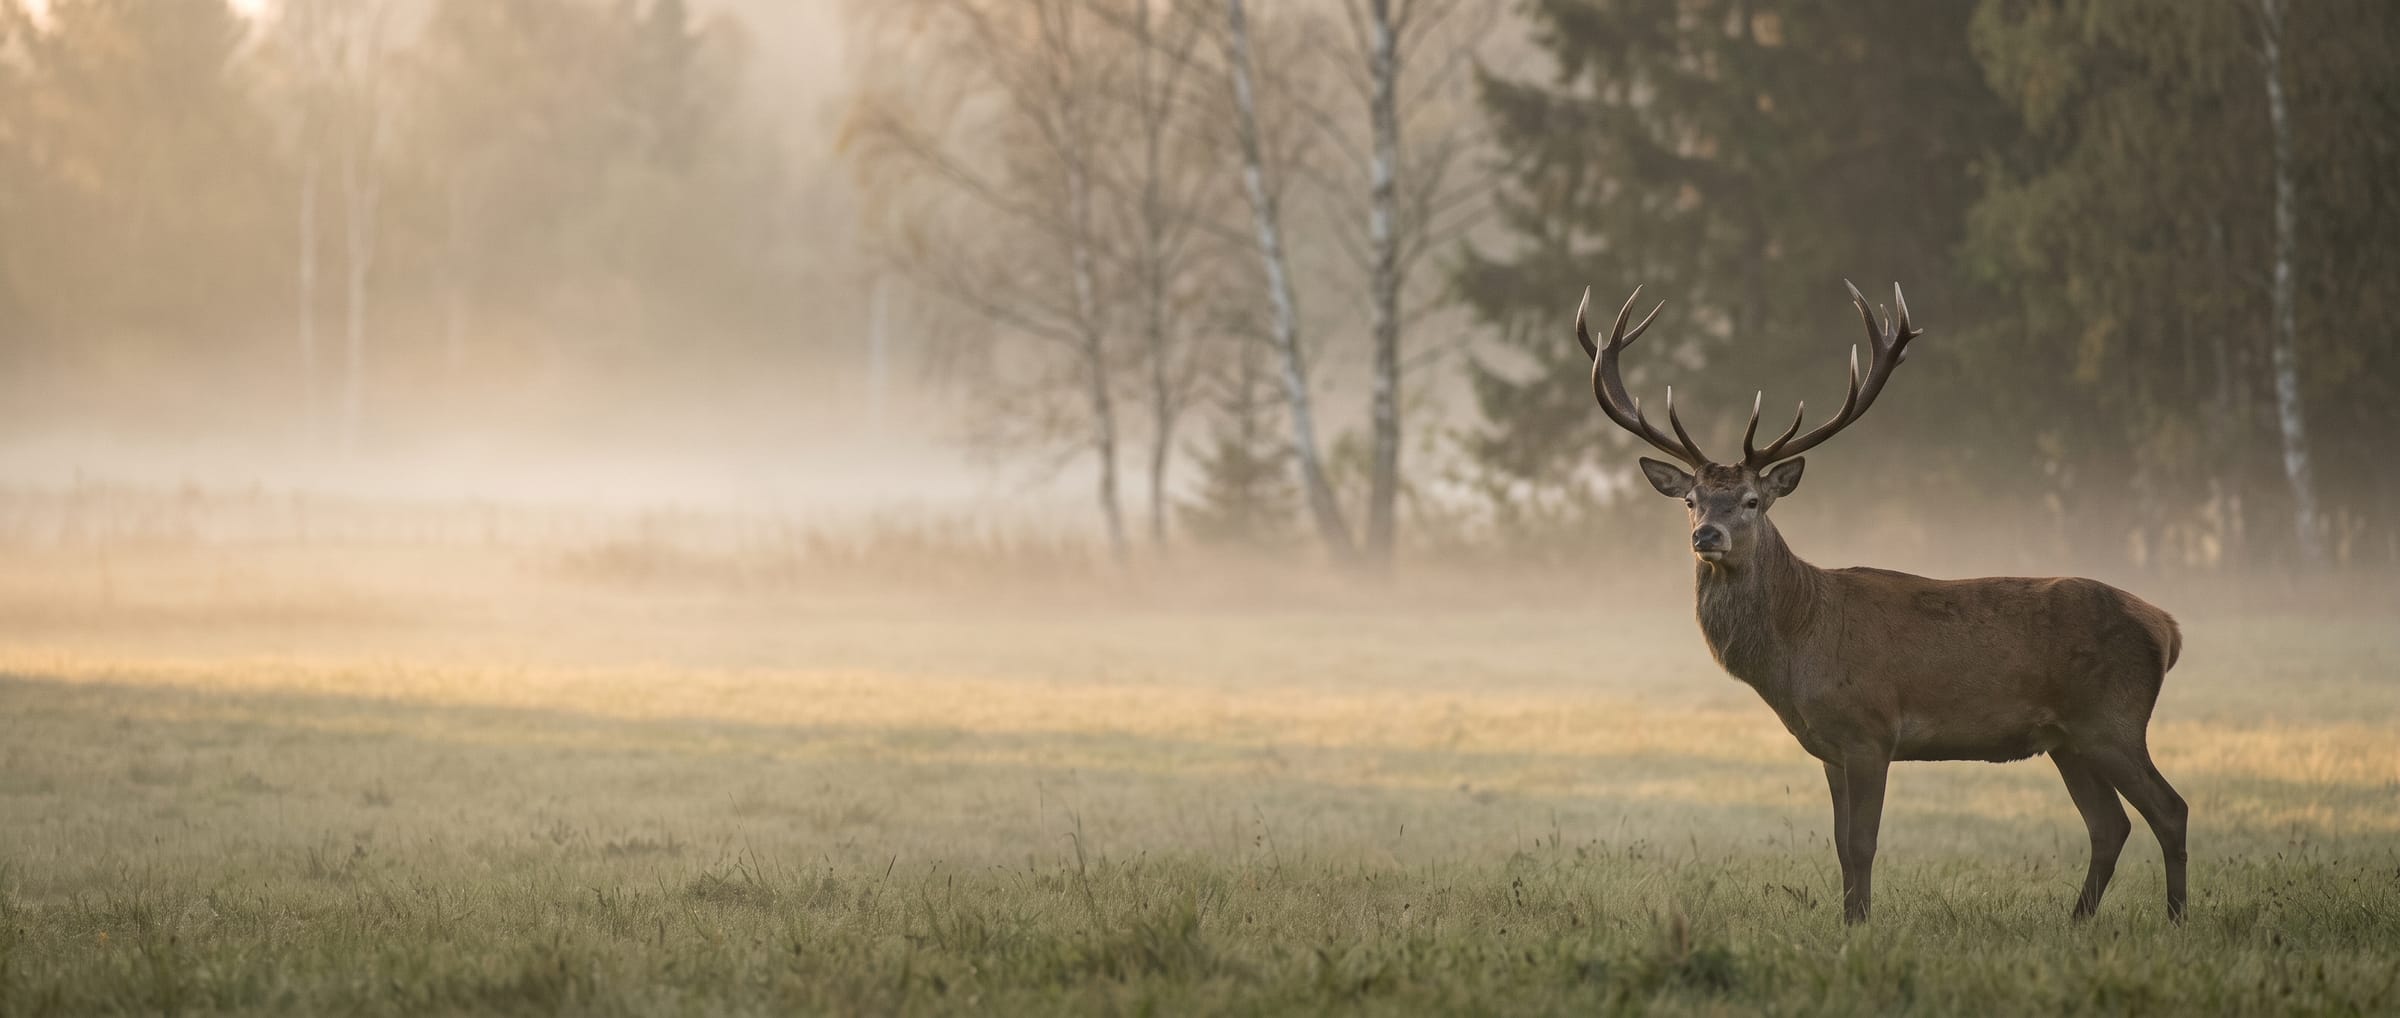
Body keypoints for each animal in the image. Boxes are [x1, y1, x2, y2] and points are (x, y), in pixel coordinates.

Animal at [1573, 281, 2188, 925]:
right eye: (1691, 500)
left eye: (1750, 501)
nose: (1706, 537)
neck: (1798, 646)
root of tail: (2167, 628)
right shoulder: (1829, 746)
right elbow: (1842, 845)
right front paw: (1849, 920)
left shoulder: (1871, 729)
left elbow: (1863, 842)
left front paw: (1862, 924)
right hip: (2068, 738)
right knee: (2110, 825)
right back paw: (2077, 921)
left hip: (2114, 719)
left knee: (2169, 809)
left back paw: (2175, 918)